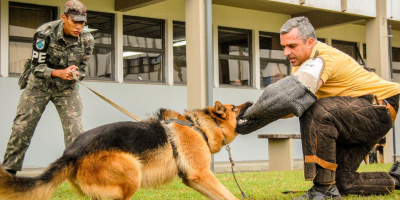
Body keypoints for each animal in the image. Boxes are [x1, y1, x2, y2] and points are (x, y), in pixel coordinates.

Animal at [0, 101, 250, 200]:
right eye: (234, 108)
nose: (249, 102)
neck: (199, 126)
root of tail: (71, 152)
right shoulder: (203, 175)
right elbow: (229, 195)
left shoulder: (194, 180)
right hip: (132, 173)